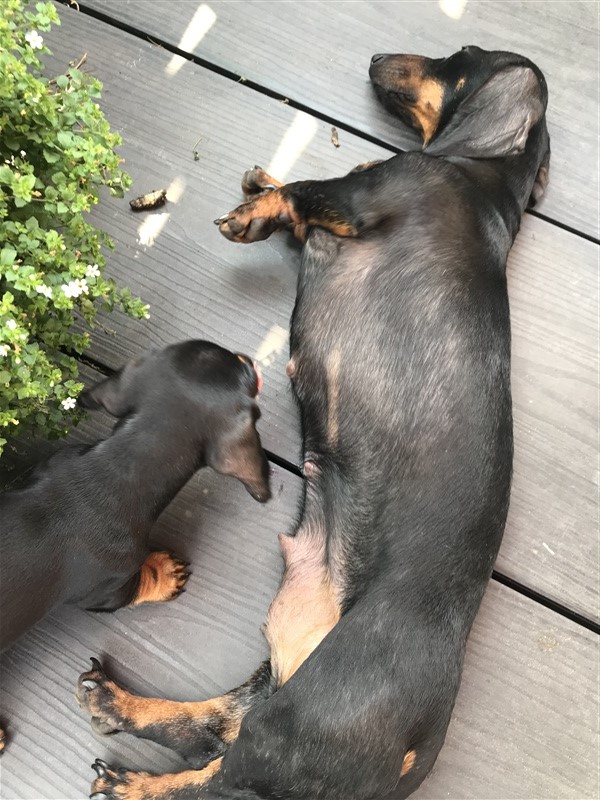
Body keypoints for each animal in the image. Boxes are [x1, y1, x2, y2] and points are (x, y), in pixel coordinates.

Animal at [0, 340, 270, 752]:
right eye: (242, 366)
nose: (250, 356)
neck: (114, 470)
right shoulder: (105, 593)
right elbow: (139, 585)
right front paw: (164, 573)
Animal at [77, 46, 550, 799]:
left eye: (461, 57)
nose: (377, 56)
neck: (484, 178)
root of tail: (413, 756)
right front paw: (260, 184)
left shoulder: (361, 198)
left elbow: (307, 188)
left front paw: (256, 206)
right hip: (271, 696)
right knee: (213, 725)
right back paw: (119, 704)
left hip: (289, 724)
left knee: (217, 776)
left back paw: (133, 782)